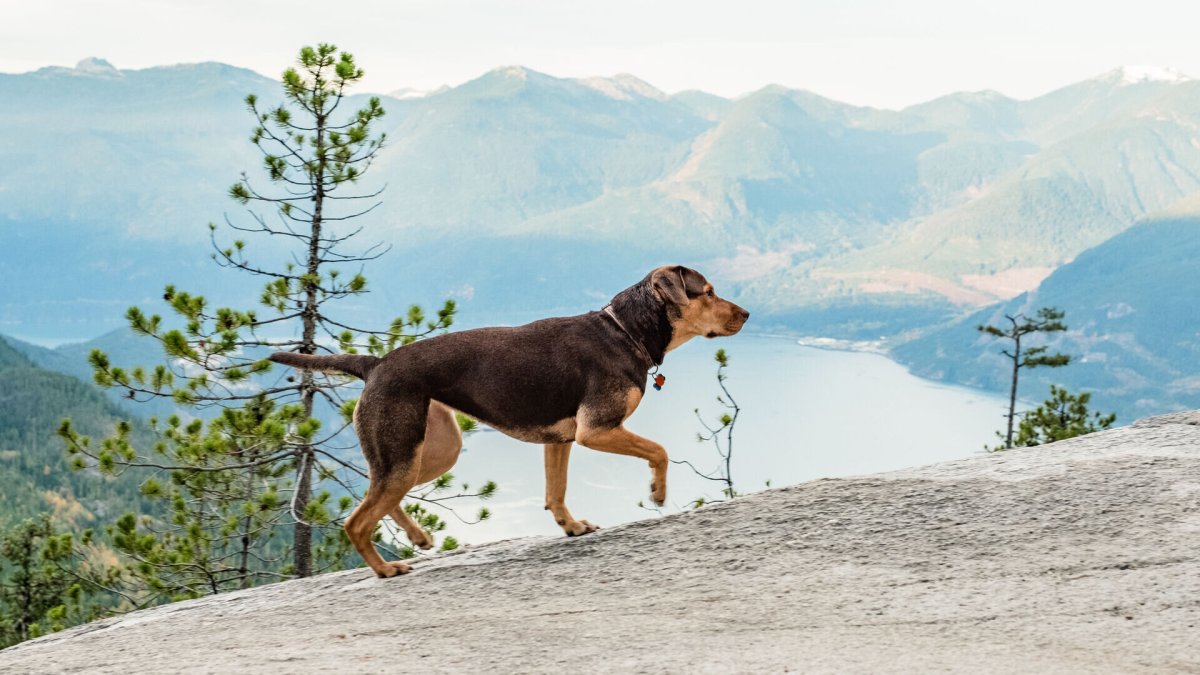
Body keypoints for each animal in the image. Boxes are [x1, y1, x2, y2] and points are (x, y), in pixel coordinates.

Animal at [270, 265, 748, 576]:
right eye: (707, 291)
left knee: (382, 499)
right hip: (405, 451)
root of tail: (375, 364)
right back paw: (385, 569)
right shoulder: (598, 430)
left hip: (431, 451)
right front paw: (658, 491)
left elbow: (556, 493)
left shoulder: (561, 440)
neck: (624, 331)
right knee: (356, 520)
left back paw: (418, 538)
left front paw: (572, 527)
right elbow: (660, 450)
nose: (745, 314)